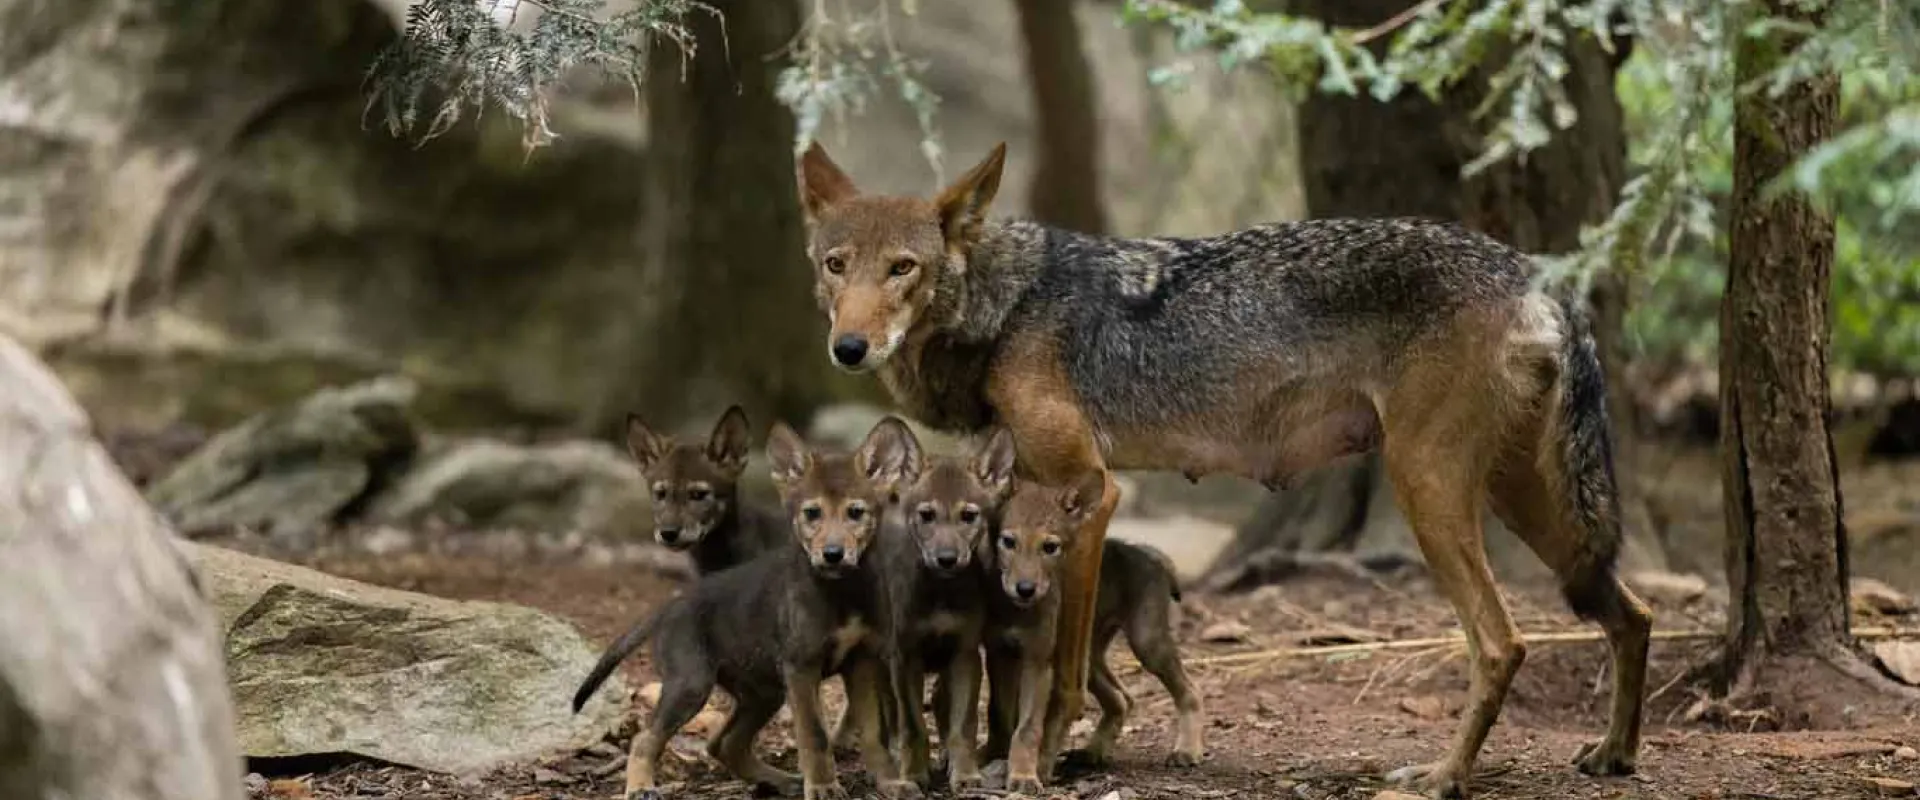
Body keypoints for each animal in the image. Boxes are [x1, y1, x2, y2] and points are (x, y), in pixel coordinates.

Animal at [790, 141, 1655, 798]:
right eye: (836, 265)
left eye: (903, 268)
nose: (848, 348)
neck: (1007, 308)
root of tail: (1536, 274)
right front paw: (987, 755)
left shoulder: (1089, 493)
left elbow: (1063, 669)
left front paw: (1039, 762)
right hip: (1524, 505)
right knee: (1633, 613)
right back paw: (1613, 755)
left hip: (1429, 491)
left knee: (1503, 643)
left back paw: (1443, 778)